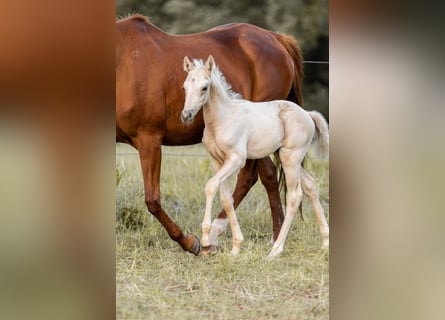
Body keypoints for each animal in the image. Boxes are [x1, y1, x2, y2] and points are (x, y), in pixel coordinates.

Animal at [114, 14, 304, 255]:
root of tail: (278, 39)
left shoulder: (149, 140)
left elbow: (152, 200)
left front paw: (189, 241)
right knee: (261, 177)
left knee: (259, 176)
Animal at [180, 56, 330, 258]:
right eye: (185, 87)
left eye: (204, 87)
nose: (186, 115)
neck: (222, 119)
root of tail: (307, 114)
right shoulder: (218, 161)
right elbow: (226, 198)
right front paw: (235, 247)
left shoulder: (236, 159)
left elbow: (211, 186)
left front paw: (205, 241)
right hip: (291, 159)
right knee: (310, 186)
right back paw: (325, 242)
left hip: (290, 158)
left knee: (294, 196)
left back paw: (275, 250)